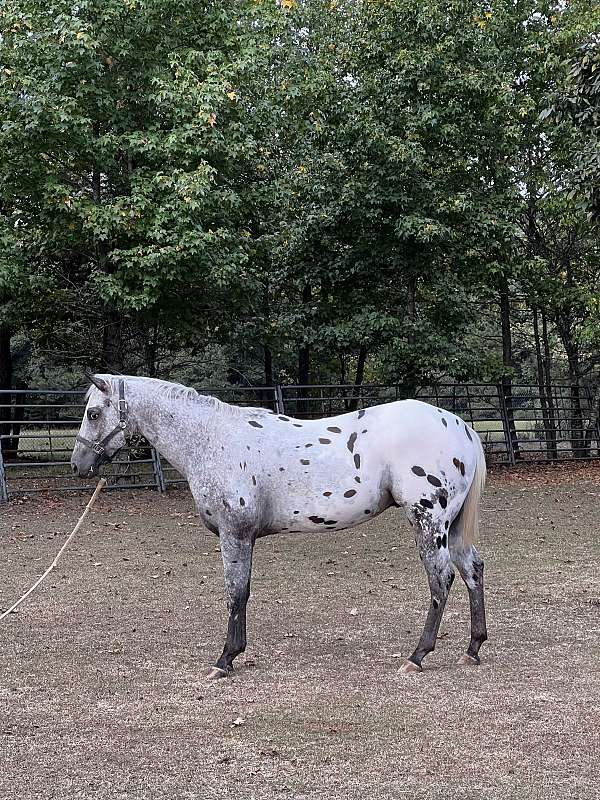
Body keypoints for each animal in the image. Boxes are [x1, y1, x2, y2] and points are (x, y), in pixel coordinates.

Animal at [71, 378, 488, 680]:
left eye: (93, 413)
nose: (78, 464)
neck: (212, 440)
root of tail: (462, 429)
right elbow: (243, 593)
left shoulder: (235, 534)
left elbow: (235, 593)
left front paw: (225, 660)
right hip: (450, 528)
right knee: (472, 571)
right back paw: (472, 649)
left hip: (429, 522)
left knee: (441, 581)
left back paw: (418, 656)